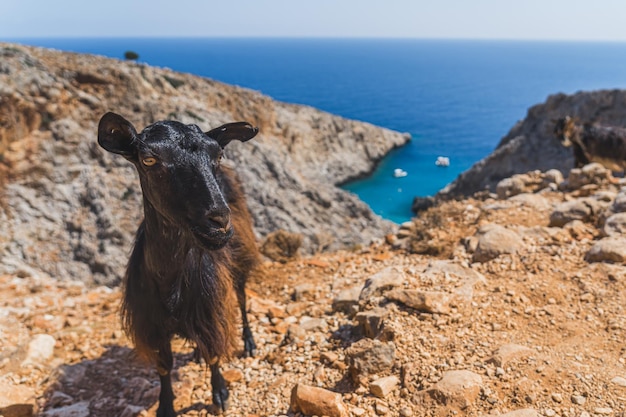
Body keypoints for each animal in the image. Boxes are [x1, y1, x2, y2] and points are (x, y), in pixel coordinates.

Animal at [97, 112, 260, 414]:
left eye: (218, 155)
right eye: (149, 159)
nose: (219, 222)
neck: (169, 281)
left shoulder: (210, 310)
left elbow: (214, 354)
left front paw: (219, 394)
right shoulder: (153, 326)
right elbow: (164, 366)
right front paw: (165, 406)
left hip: (240, 257)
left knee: (242, 298)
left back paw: (249, 342)